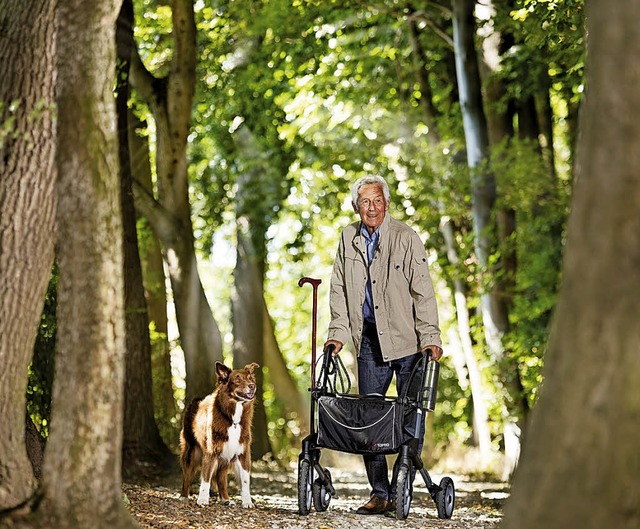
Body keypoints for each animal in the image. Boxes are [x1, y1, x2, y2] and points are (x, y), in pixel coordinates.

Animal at [179, 360, 258, 506]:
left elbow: (245, 480)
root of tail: (195, 400)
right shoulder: (211, 451)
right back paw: (183, 496)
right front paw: (202, 499)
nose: (252, 386)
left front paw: (247, 502)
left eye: (250, 378)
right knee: (187, 475)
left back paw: (225, 499)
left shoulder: (243, 452)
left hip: (225, 457)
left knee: (221, 478)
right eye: (237, 379)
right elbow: (206, 478)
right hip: (192, 451)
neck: (232, 419)